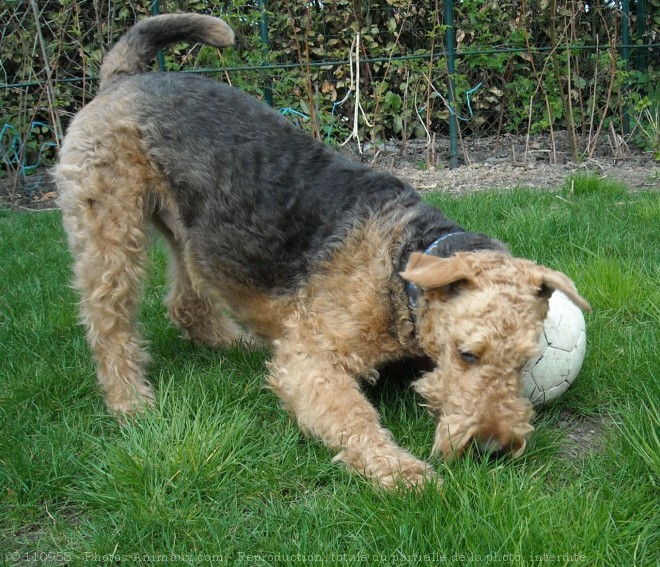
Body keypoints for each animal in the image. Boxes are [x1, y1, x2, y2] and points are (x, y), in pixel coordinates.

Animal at [54, 14, 592, 492]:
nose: (492, 448)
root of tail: (123, 79)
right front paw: (403, 473)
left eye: (525, 362)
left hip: (189, 229)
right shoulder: (312, 359)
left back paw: (236, 344)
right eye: (467, 354)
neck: (402, 263)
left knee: (187, 302)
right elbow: (354, 418)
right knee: (109, 325)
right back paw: (132, 404)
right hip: (109, 228)